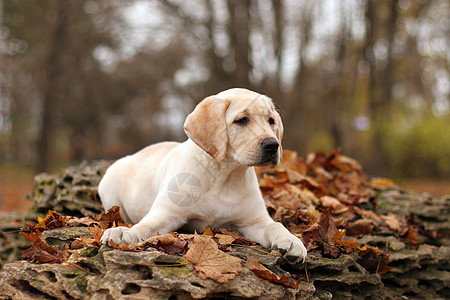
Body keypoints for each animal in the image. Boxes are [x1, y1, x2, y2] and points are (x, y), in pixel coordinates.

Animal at [100, 88, 308, 262]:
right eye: (241, 120)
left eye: (271, 121)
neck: (225, 176)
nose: (273, 145)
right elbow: (145, 225)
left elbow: (275, 225)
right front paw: (124, 233)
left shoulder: (254, 221)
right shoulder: (167, 213)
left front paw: (292, 241)